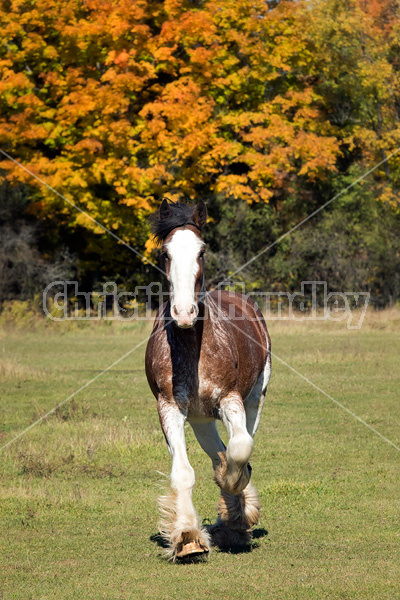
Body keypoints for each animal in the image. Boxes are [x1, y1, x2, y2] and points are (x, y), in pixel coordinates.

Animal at [145, 199, 270, 560]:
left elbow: (241, 450)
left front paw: (234, 492)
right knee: (217, 451)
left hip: (254, 399)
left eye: (201, 250)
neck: (192, 345)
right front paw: (188, 538)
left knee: (239, 445)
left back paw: (237, 514)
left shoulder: (230, 399)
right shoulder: (170, 408)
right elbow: (184, 472)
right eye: (166, 253)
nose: (184, 312)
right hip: (200, 419)